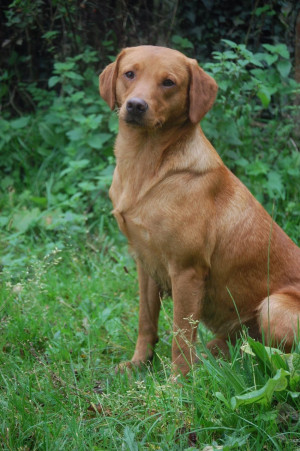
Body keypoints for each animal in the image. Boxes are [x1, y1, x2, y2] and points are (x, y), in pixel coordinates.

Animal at [100, 45, 300, 378]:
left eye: (169, 82)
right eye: (129, 74)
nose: (136, 106)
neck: (144, 166)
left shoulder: (187, 270)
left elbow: (181, 336)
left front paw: (177, 383)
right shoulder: (145, 263)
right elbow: (146, 321)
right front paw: (139, 363)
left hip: (275, 307)